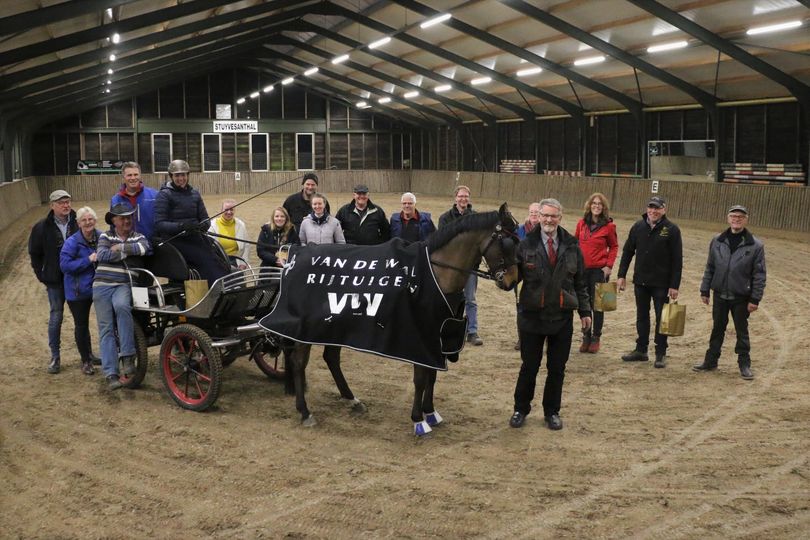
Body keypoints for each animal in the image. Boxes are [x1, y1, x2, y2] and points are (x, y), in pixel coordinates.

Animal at [276, 202, 516, 434]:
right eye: (508, 242)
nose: (513, 281)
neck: (435, 274)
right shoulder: (419, 336)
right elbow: (420, 378)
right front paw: (418, 420)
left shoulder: (436, 337)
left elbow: (432, 375)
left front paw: (430, 412)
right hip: (307, 328)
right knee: (298, 362)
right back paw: (305, 411)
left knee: (331, 358)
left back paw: (351, 399)